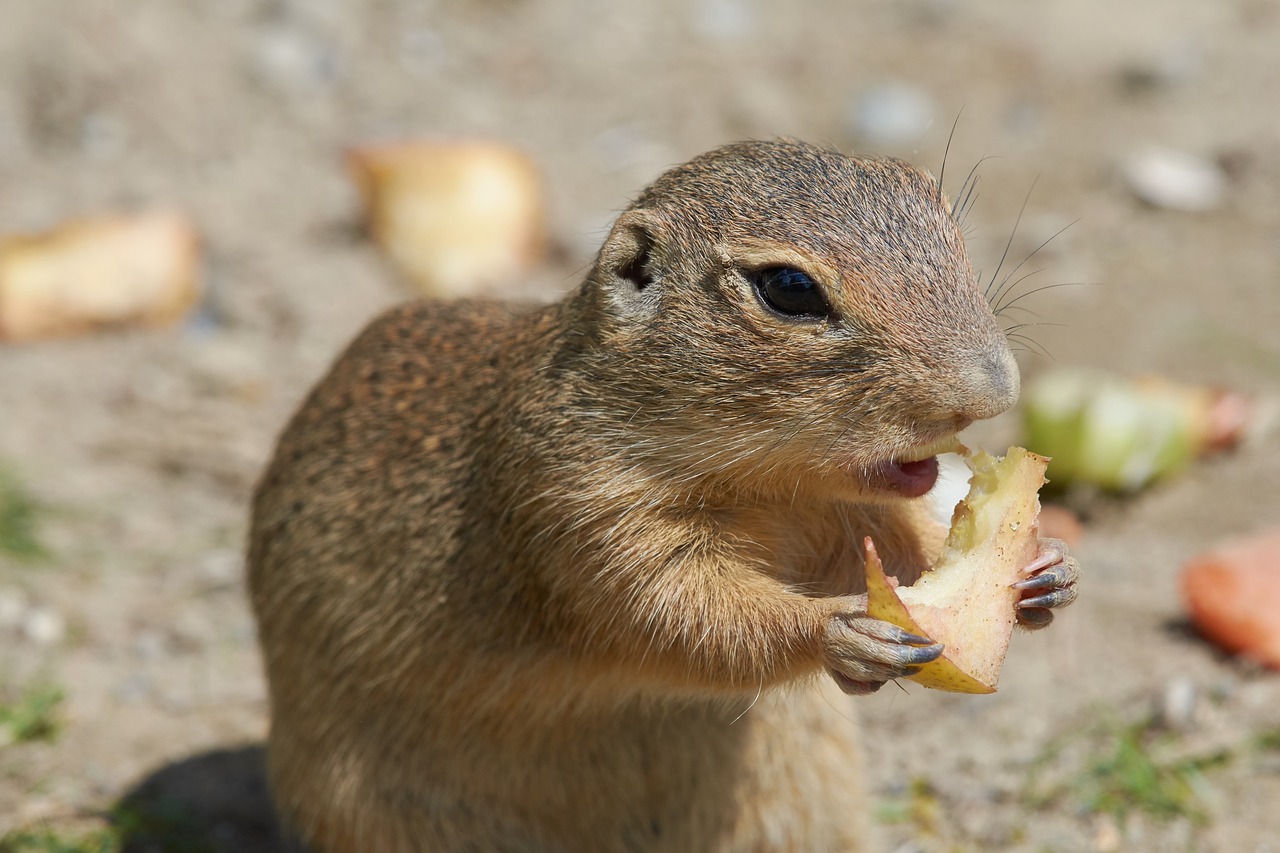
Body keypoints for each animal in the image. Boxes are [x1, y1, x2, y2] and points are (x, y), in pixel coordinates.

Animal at [244, 140, 1075, 850]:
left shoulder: (847, 514)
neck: (770, 484)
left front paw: (1045, 575)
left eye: (948, 225)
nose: (992, 390)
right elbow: (683, 614)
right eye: (789, 289)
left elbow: (908, 548)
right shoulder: (579, 506)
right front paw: (842, 631)